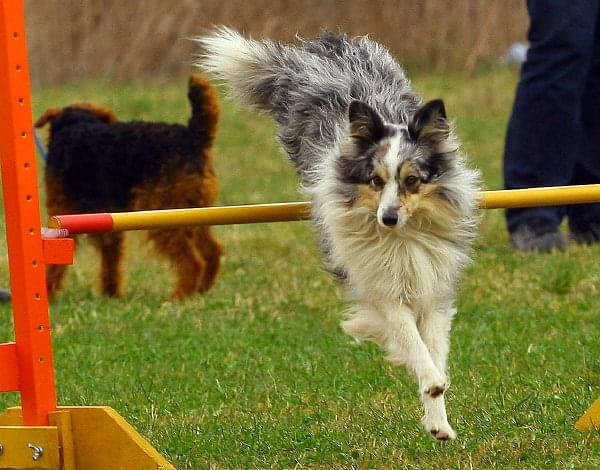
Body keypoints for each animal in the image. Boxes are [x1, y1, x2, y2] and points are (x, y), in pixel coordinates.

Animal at [195, 28, 480, 440]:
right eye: (375, 180)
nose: (387, 218)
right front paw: (430, 380)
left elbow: (433, 345)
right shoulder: (377, 285)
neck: (400, 239)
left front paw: (439, 421)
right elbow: (410, 339)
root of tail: (322, 46)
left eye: (412, 180)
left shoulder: (433, 286)